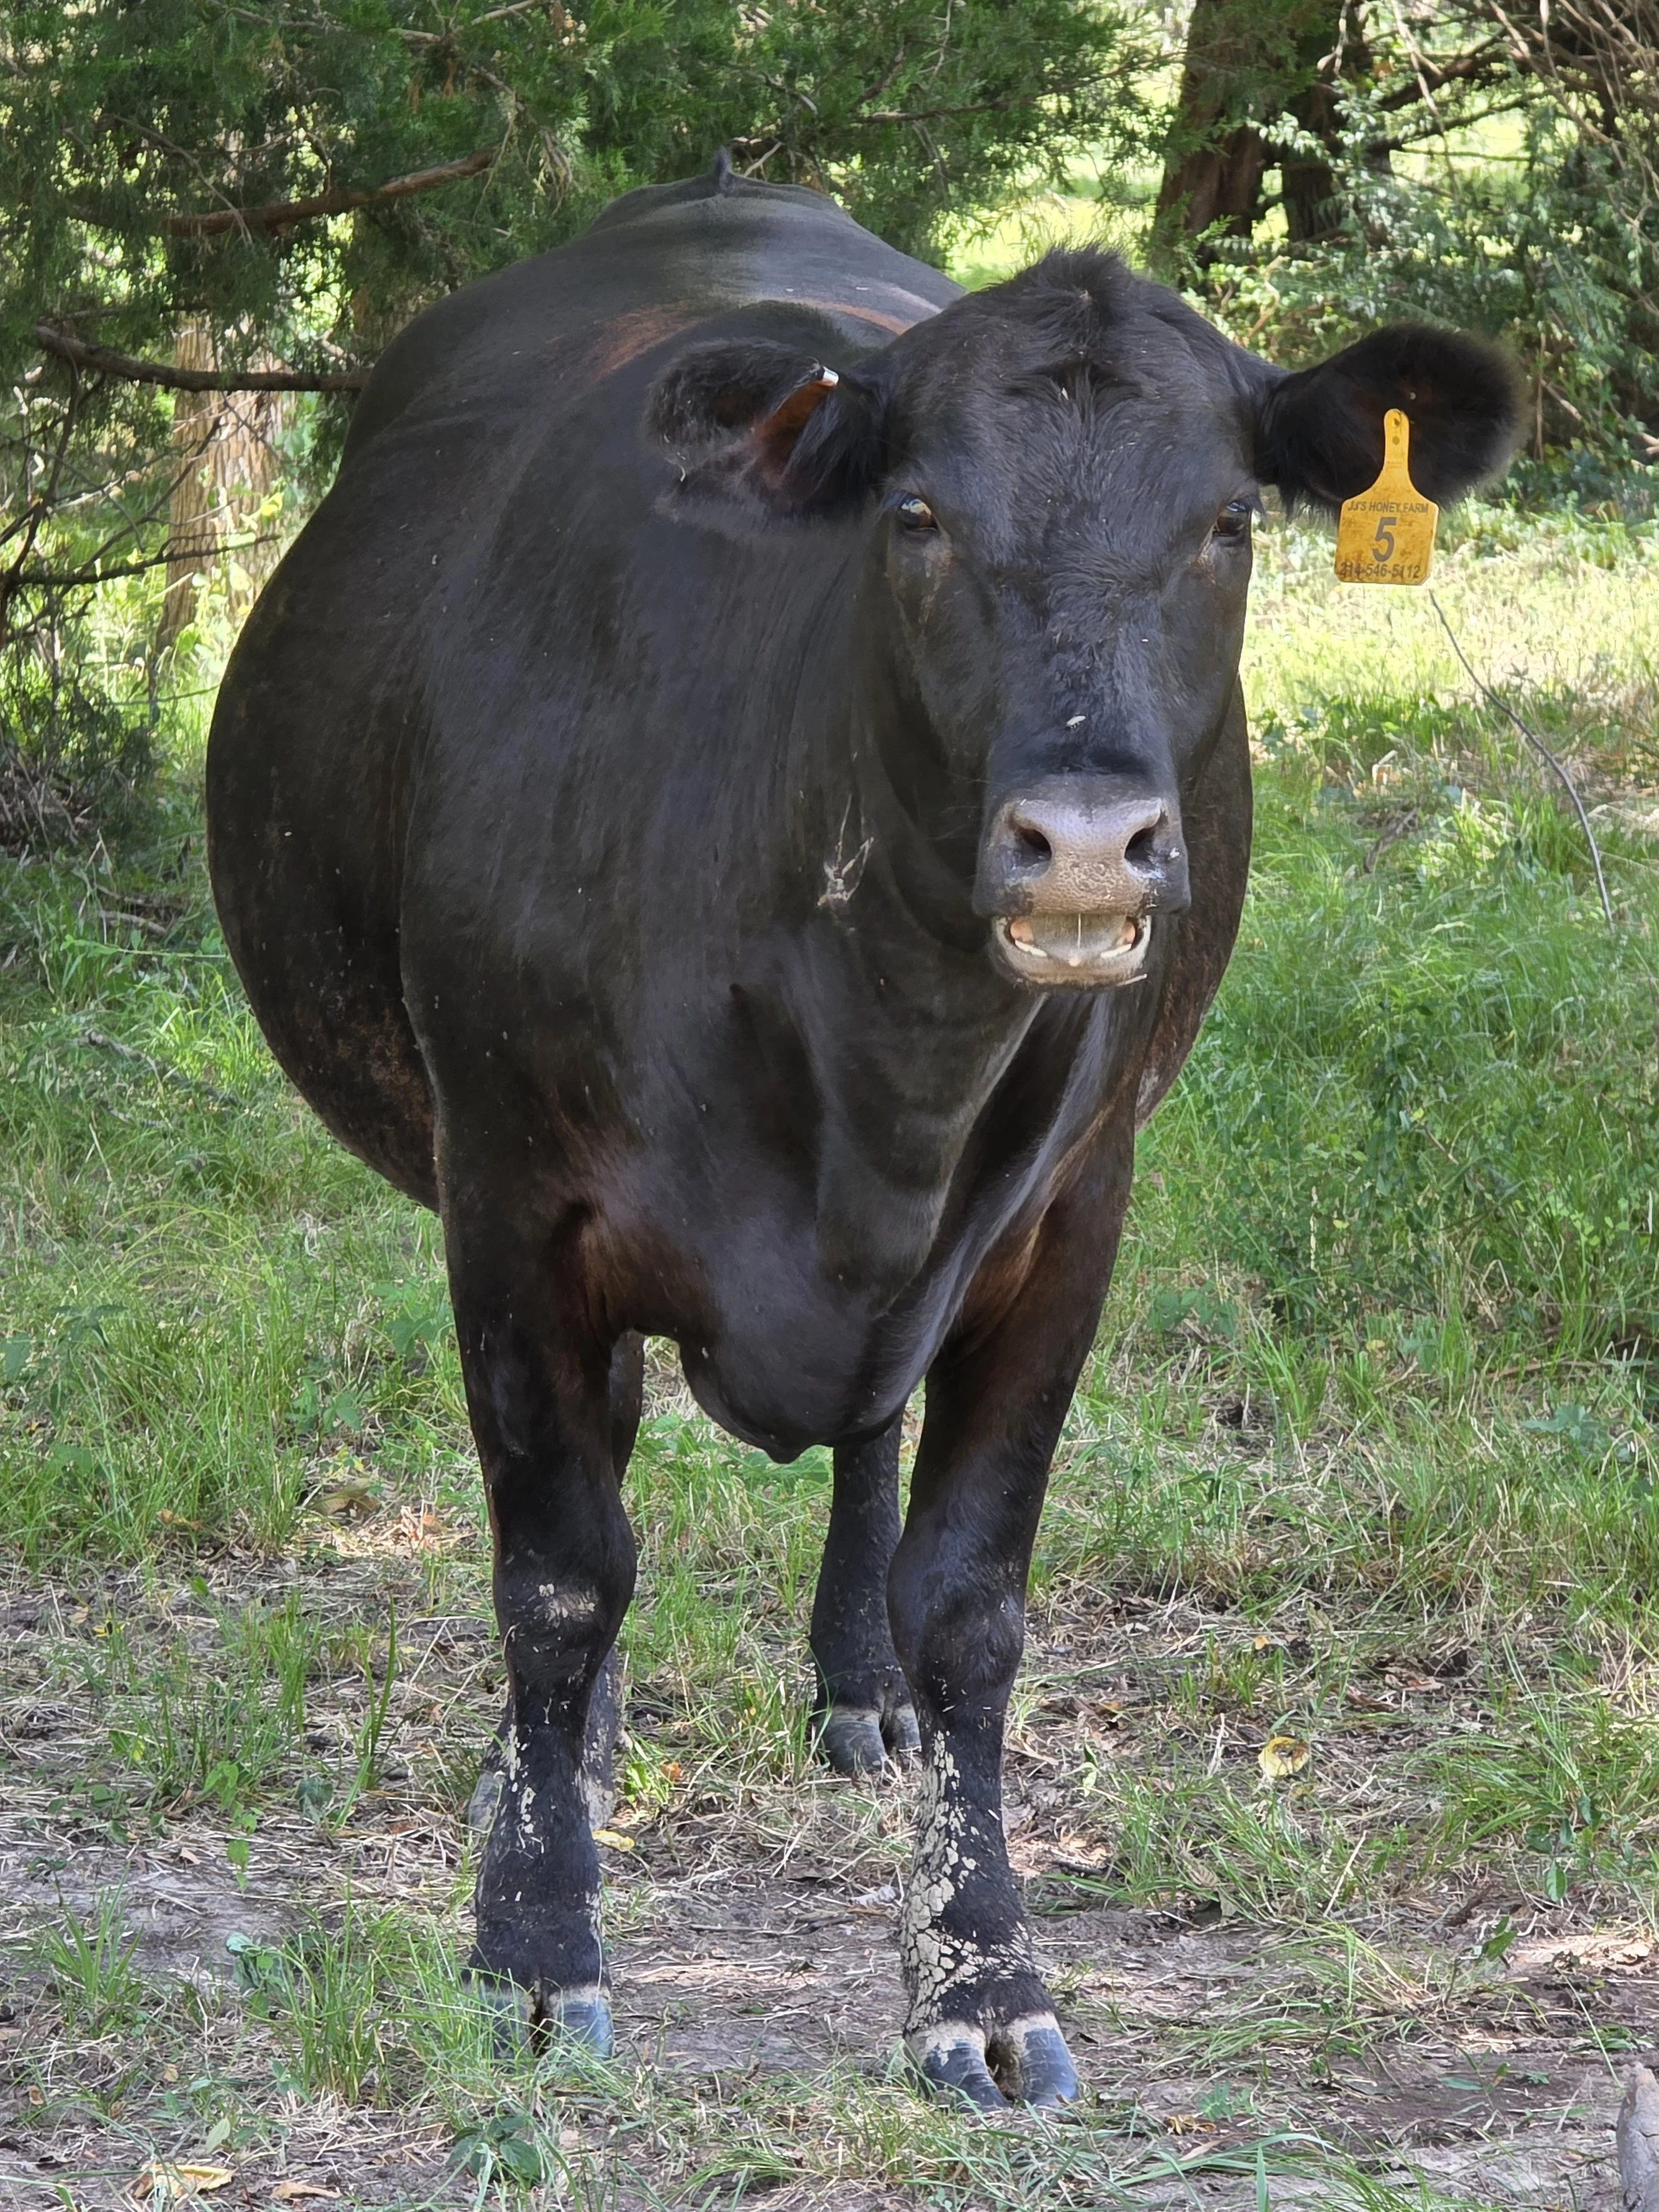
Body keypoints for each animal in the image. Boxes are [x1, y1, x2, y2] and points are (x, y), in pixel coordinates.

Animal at [206, 153, 1518, 2110]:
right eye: (915, 514)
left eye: (1227, 523)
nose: (1083, 842)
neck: (868, 1055)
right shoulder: (507, 1195)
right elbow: (559, 1572)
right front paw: (532, 1941)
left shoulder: (1070, 1210)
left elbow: (971, 1600)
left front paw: (980, 1975)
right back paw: (571, 1762)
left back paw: (856, 1687)